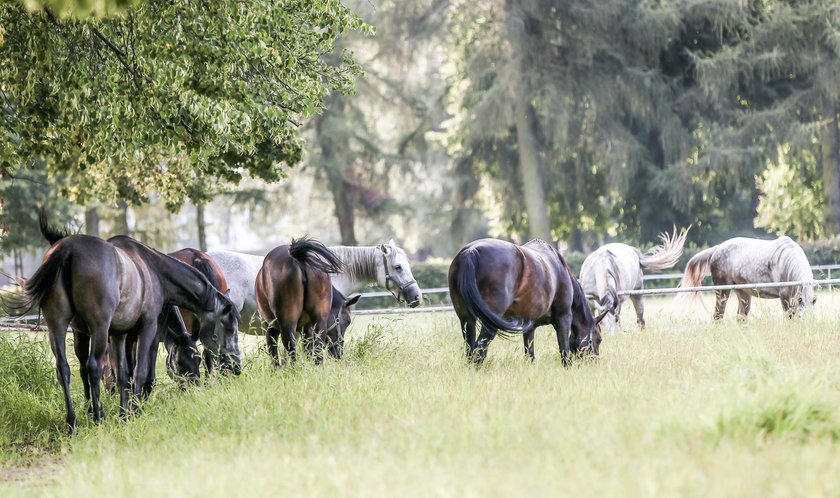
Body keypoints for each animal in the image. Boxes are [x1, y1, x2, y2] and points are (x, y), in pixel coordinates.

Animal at [23, 216, 240, 430]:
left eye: (197, 361)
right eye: (228, 329)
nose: (236, 367)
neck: (154, 269)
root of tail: (67, 250)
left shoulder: (120, 334)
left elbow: (124, 373)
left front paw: (124, 413)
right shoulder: (147, 330)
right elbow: (140, 372)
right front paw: (135, 410)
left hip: (58, 326)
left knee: (65, 369)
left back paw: (74, 421)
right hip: (98, 329)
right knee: (93, 367)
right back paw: (98, 417)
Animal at [256, 238, 348, 366]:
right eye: (348, 321)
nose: (338, 353)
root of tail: (298, 259)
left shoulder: (271, 328)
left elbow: (274, 355)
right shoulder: (307, 329)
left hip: (287, 323)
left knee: (291, 349)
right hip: (319, 320)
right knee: (316, 348)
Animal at [446, 239, 604, 364]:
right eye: (599, 339)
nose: (594, 361)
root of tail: (471, 251)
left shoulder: (529, 326)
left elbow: (530, 354)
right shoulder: (563, 318)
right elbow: (564, 350)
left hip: (467, 320)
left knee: (470, 348)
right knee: (479, 350)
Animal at [684, 236, 812, 320]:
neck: (786, 261)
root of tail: (717, 249)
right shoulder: (784, 295)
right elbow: (789, 316)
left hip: (743, 293)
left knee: (741, 317)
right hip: (723, 291)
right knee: (718, 316)